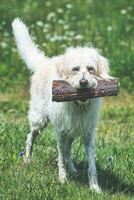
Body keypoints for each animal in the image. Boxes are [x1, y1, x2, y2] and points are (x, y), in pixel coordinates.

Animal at [11, 18, 111, 194]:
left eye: (90, 69)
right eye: (75, 69)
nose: (83, 82)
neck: (78, 105)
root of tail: (45, 63)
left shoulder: (88, 134)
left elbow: (91, 164)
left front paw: (95, 187)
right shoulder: (60, 132)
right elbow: (61, 158)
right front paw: (63, 179)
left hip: (71, 130)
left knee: (68, 150)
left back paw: (73, 170)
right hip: (39, 119)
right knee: (30, 137)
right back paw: (27, 159)